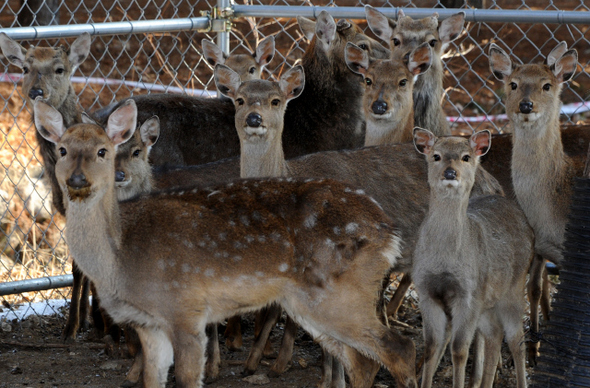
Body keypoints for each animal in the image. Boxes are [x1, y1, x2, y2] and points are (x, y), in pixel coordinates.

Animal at [0, 31, 93, 340]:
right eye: (25, 68)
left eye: (60, 68)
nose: (36, 92)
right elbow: (80, 268)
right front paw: (80, 321)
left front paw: (73, 326)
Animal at [33, 97, 420, 388]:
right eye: (62, 149)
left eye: (102, 151)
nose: (78, 179)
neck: (122, 254)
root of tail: (386, 229)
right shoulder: (149, 324)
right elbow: (152, 379)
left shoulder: (185, 309)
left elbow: (189, 379)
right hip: (311, 303)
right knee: (364, 361)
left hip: (340, 294)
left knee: (400, 348)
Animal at [215, 62, 506, 384]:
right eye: (239, 100)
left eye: (275, 101)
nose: (254, 118)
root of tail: (495, 185)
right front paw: (325, 380)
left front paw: (331, 380)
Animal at [412, 130, 536, 388]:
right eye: (436, 156)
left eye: (466, 157)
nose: (450, 172)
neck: (445, 260)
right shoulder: (426, 291)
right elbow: (431, 347)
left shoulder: (468, 294)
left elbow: (459, 350)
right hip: (487, 301)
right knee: (494, 335)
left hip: (514, 287)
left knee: (516, 339)